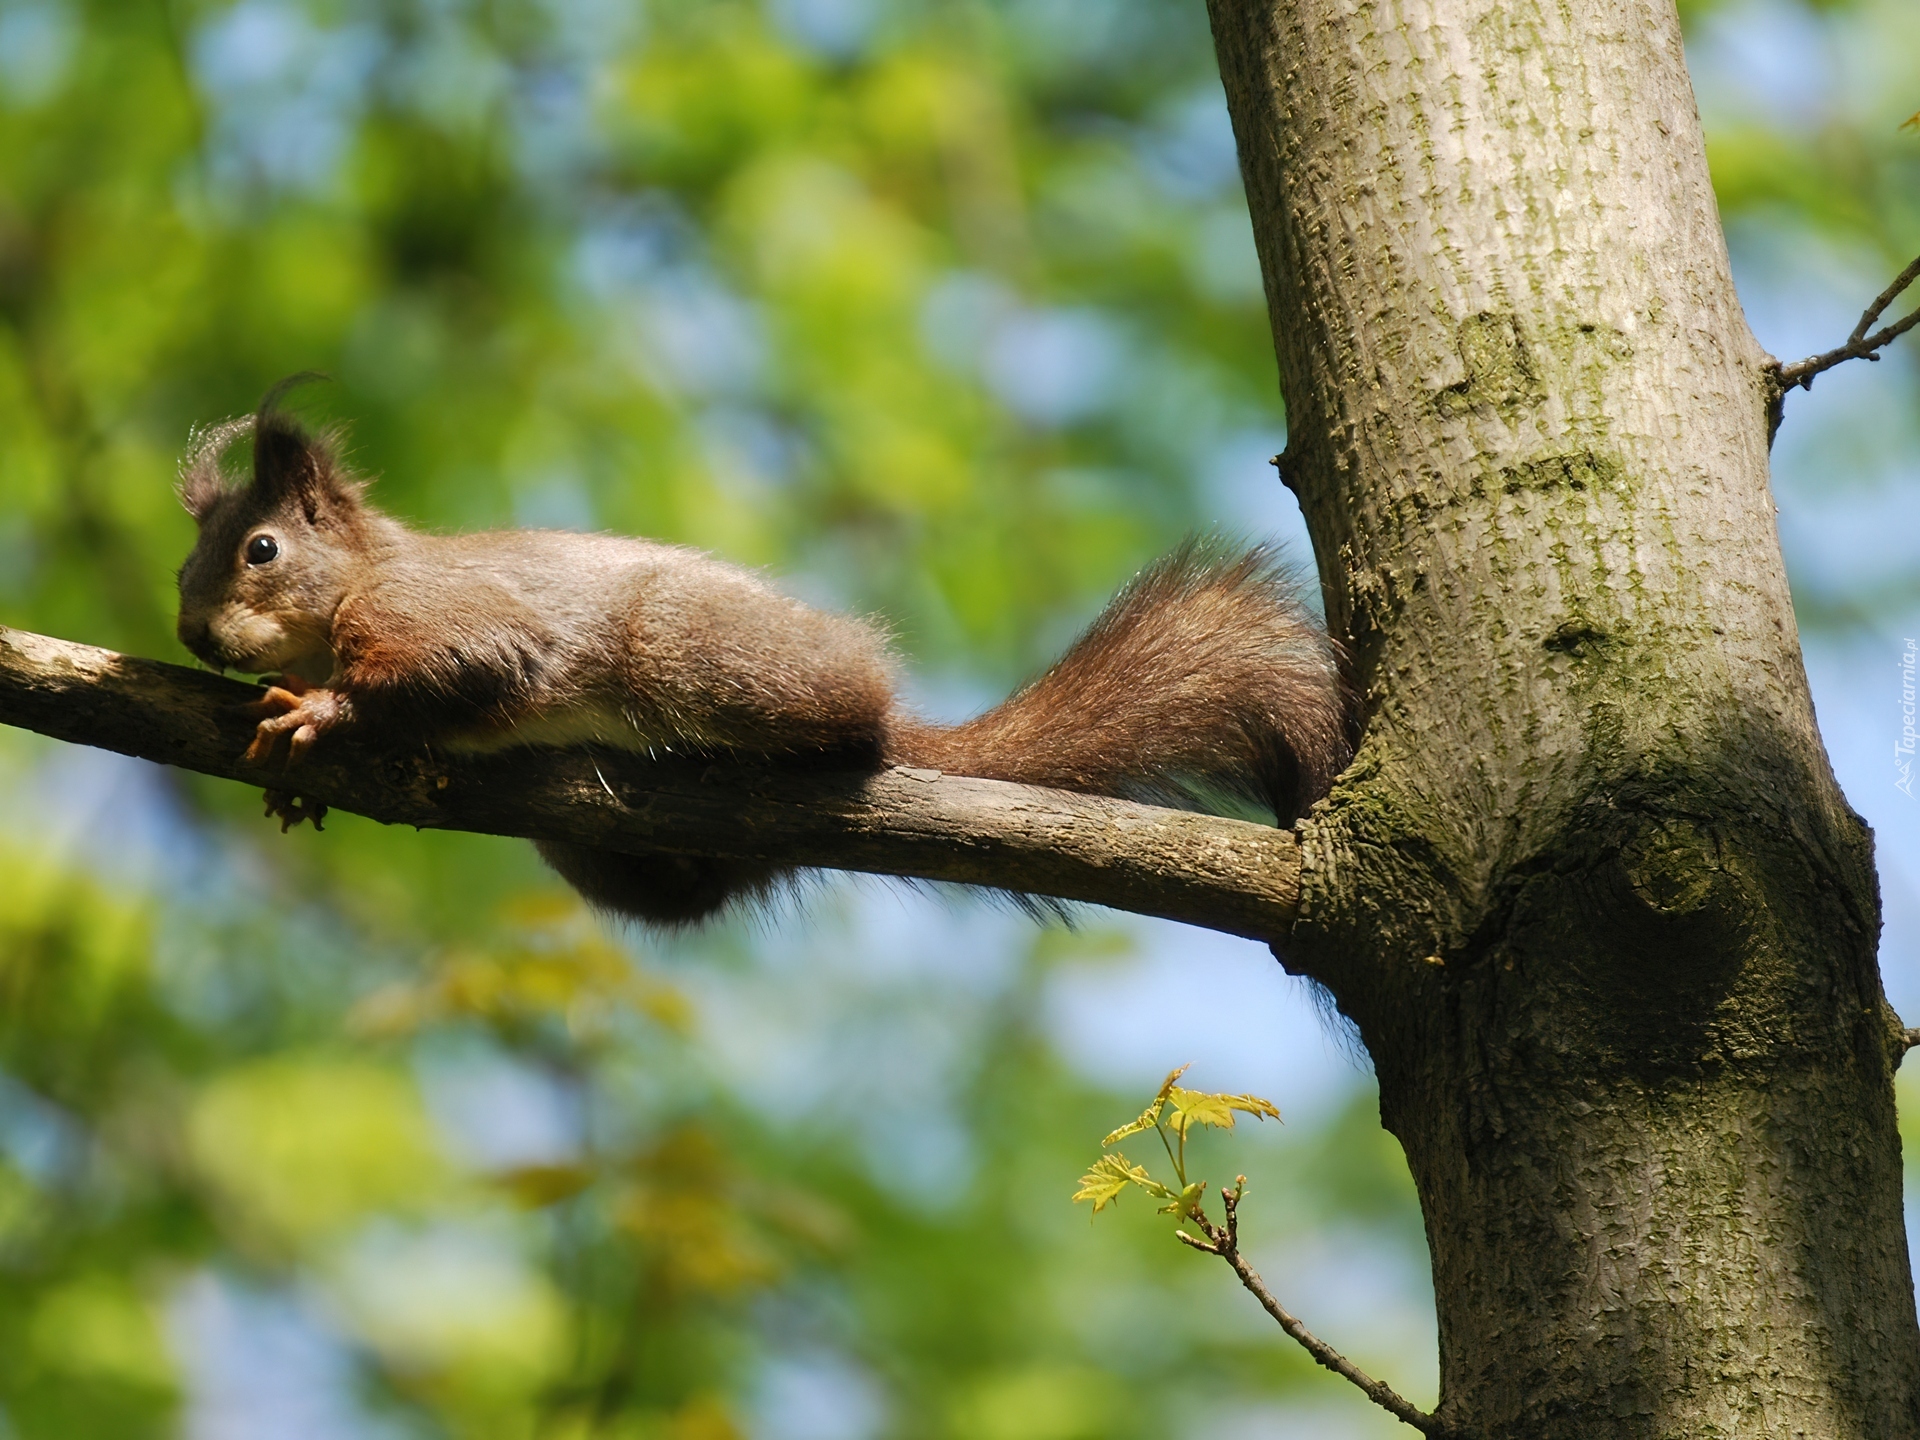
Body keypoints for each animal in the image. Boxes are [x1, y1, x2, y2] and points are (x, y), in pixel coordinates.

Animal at [176, 389, 1351, 925]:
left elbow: (464, 668)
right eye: (187, 559)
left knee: (852, 724)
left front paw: (325, 712)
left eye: (261, 549)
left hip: (684, 650)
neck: (363, 580)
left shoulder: (443, 615)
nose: (190, 633)